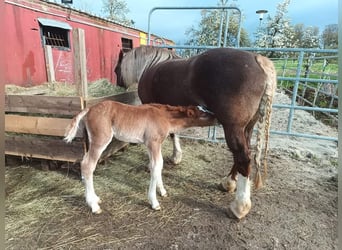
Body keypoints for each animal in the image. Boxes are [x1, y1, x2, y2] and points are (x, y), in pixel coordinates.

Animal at [63, 100, 216, 214]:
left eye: (206, 109)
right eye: (203, 114)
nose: (217, 117)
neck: (164, 117)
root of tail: (89, 108)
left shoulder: (152, 144)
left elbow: (158, 165)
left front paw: (162, 191)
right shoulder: (153, 142)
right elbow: (156, 166)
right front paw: (154, 202)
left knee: (84, 162)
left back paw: (95, 198)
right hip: (101, 140)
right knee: (88, 165)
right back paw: (94, 206)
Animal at [116, 47, 276, 219]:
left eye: (116, 68)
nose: (119, 85)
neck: (150, 65)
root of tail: (259, 60)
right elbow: (174, 133)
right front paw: (176, 157)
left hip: (233, 127)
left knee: (242, 157)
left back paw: (239, 206)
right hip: (247, 127)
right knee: (241, 155)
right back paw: (228, 183)